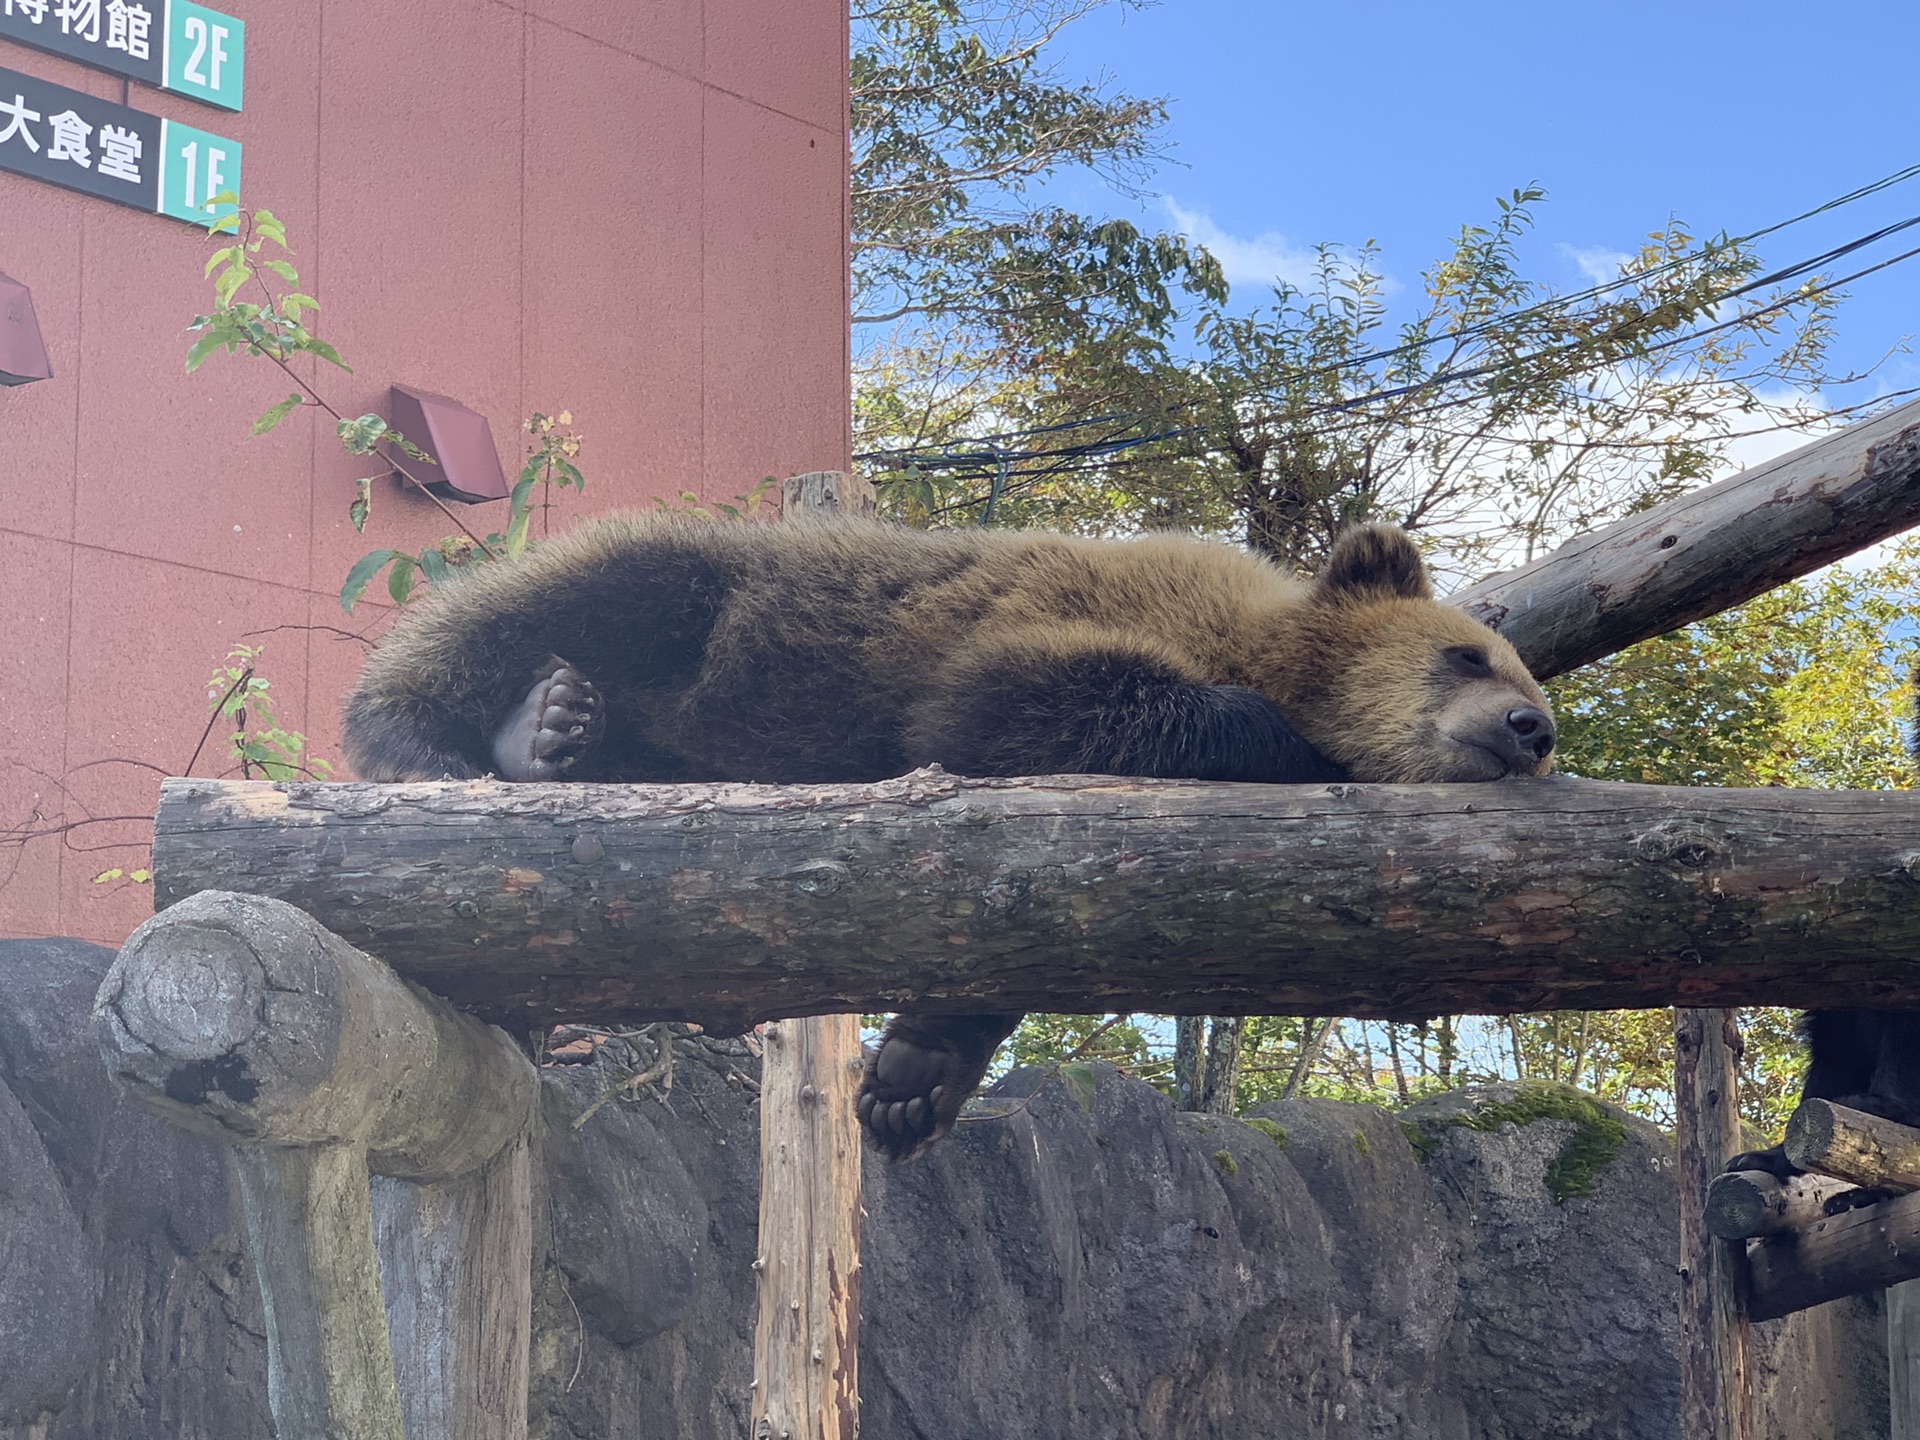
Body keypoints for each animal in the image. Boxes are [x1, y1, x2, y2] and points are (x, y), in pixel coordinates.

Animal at [337, 518, 1551, 1159]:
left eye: (1527, 677)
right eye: (1467, 654)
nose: (1531, 729)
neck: (1255, 638)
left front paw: (916, 1076)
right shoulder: (1041, 634)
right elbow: (1009, 701)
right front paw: (1287, 741)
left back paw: (557, 732)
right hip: (714, 606)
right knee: (563, 599)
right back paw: (480, 730)